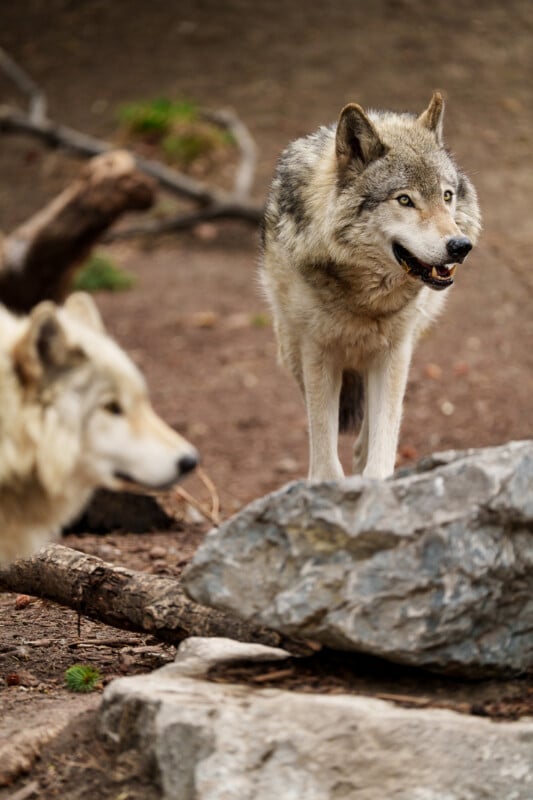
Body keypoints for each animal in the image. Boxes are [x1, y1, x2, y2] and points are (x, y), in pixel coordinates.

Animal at [261, 93, 481, 481]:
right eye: (405, 200)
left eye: (447, 196)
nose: (460, 246)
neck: (366, 300)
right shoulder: (317, 353)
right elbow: (324, 453)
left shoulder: (394, 353)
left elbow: (381, 448)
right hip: (291, 351)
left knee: (365, 440)